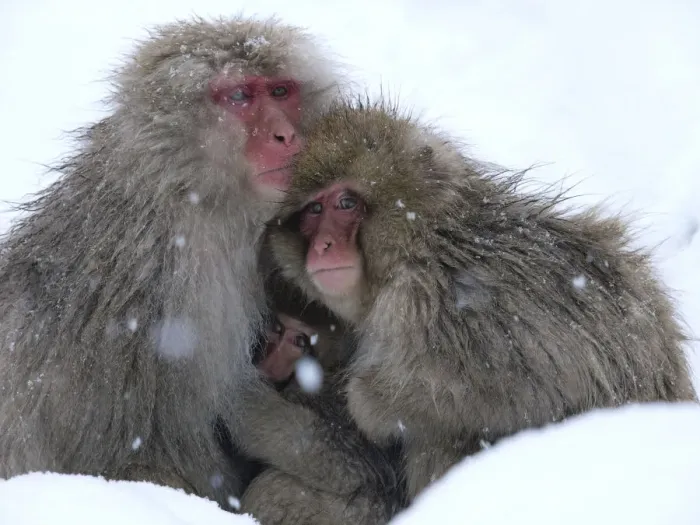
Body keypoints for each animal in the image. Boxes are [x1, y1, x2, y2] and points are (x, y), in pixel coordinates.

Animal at [0, 15, 355, 507]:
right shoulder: (168, 282)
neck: (189, 190)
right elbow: (149, 449)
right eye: (240, 97)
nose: (286, 134)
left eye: (281, 90)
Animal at [267, 98, 698, 502]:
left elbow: (529, 392)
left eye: (346, 203)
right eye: (314, 209)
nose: (322, 246)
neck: (425, 241)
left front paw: (368, 401)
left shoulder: (435, 305)